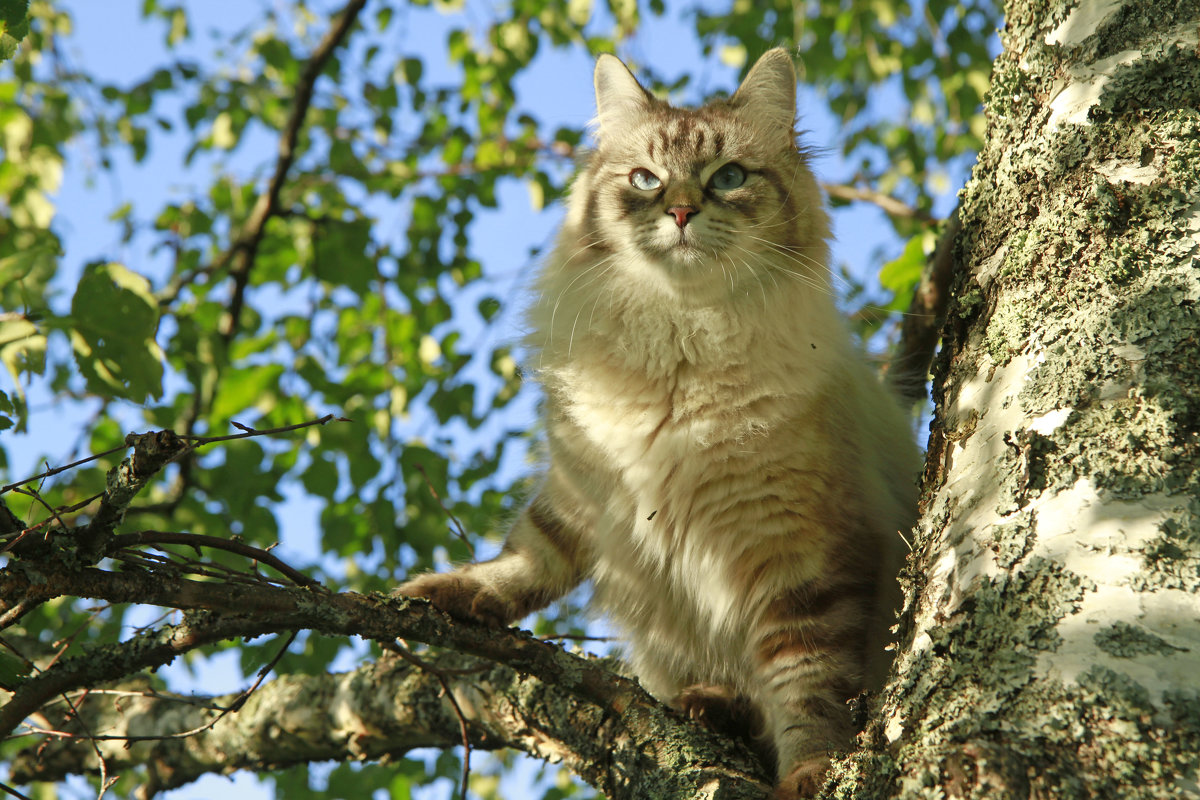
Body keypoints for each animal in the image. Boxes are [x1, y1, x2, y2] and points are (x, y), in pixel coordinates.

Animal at [396, 48, 916, 800]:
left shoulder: (803, 558)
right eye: (645, 179)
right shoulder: (584, 482)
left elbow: (808, 686)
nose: (680, 211)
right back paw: (712, 704)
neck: (681, 340)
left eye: (728, 177)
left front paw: (812, 773)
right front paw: (452, 593)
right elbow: (526, 558)